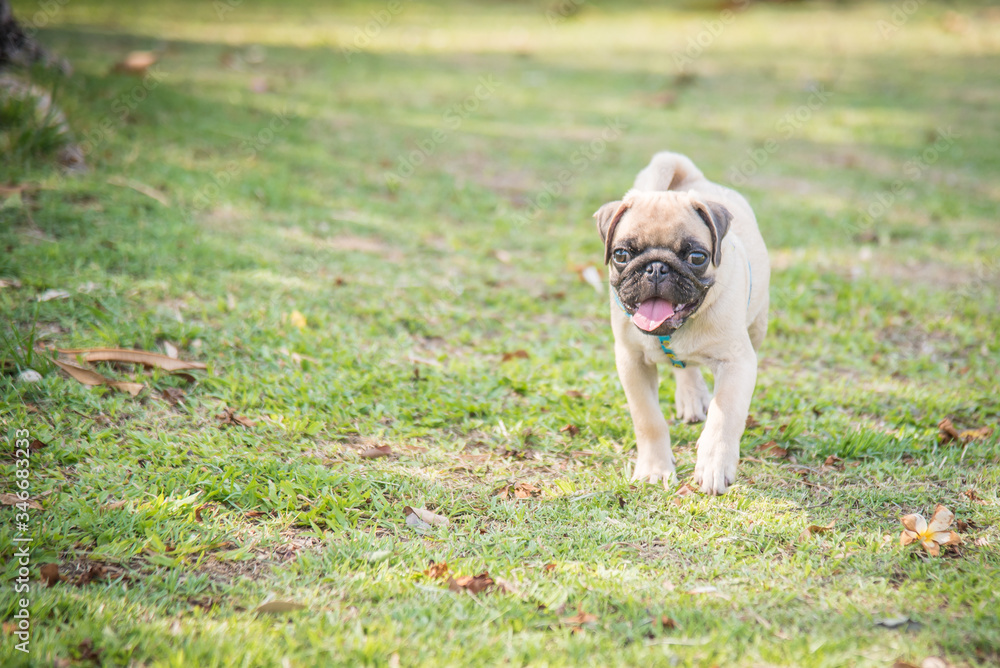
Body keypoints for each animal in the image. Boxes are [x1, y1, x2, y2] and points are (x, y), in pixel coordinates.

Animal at [592, 153, 772, 496]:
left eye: (697, 257)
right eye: (621, 254)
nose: (656, 268)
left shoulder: (736, 361)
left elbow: (724, 415)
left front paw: (714, 465)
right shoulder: (631, 362)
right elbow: (648, 419)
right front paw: (655, 468)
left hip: (758, 326)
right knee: (684, 368)